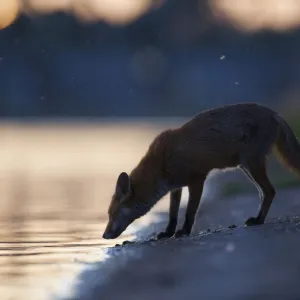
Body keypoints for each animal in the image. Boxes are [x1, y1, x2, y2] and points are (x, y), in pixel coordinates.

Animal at [102, 103, 300, 239]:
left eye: (112, 214)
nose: (104, 236)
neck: (161, 162)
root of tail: (273, 113)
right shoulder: (176, 187)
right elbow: (173, 214)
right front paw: (168, 233)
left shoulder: (197, 179)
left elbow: (190, 212)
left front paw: (184, 231)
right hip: (246, 168)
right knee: (265, 193)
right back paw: (259, 219)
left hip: (252, 165)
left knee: (270, 191)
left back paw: (259, 220)